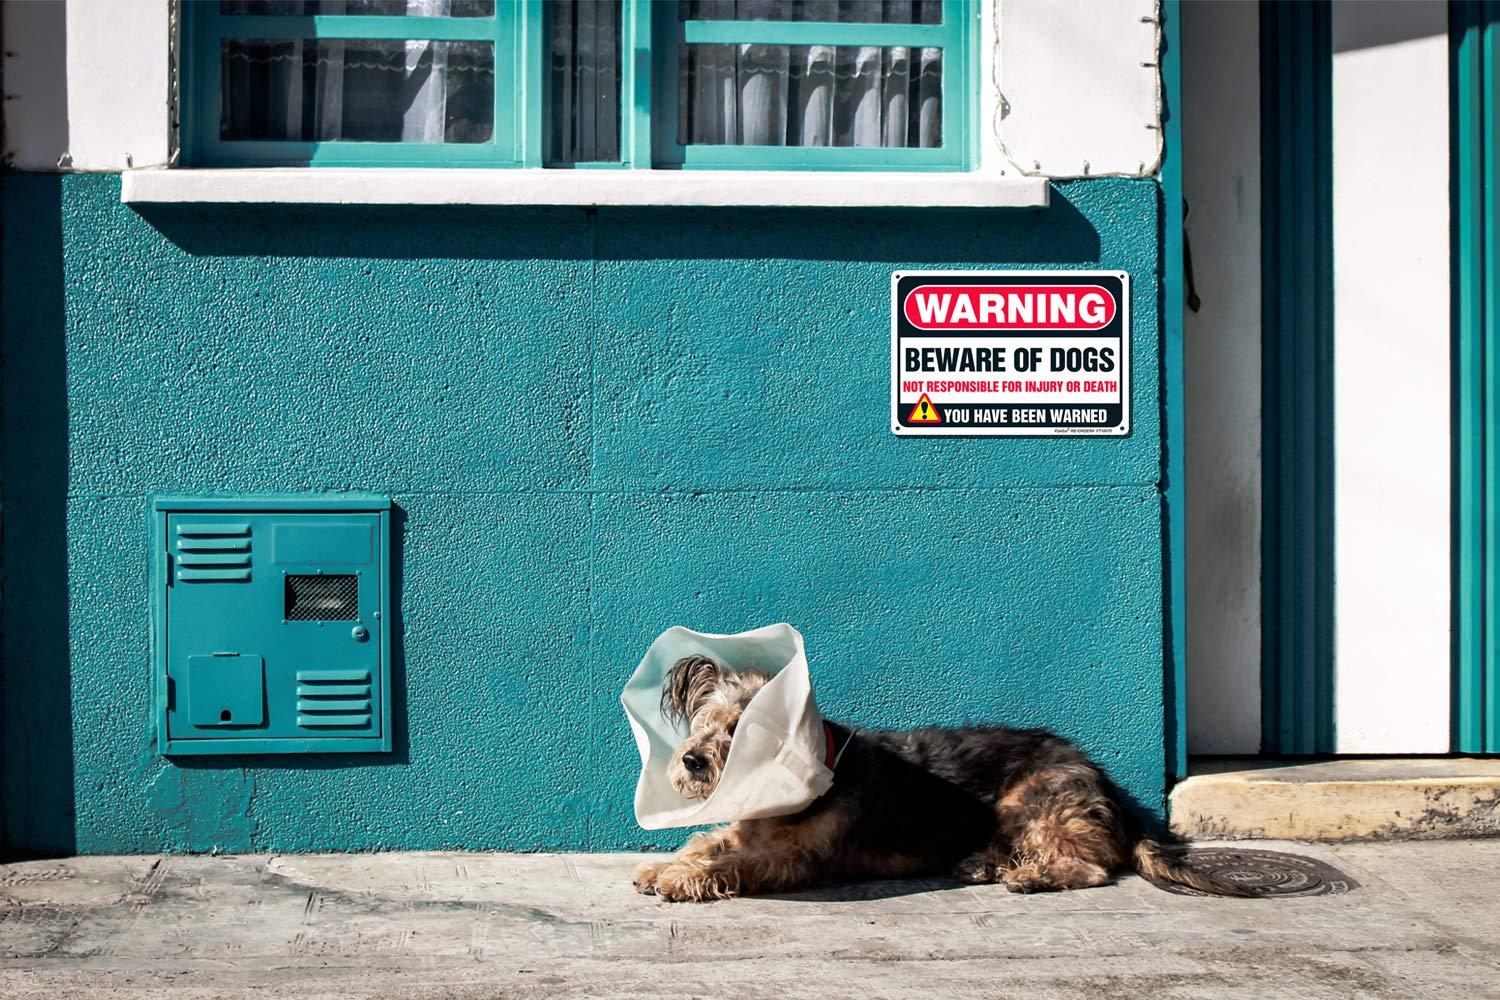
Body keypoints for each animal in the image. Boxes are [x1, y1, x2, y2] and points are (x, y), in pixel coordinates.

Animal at [630, 653, 1230, 905]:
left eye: (742, 730)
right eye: (706, 723)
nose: (691, 760)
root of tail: (1102, 781)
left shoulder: (795, 859)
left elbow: (733, 862)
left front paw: (680, 880)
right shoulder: (746, 831)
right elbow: (707, 841)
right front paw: (664, 866)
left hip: (1029, 797)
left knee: (1090, 867)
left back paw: (1028, 876)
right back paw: (982, 864)